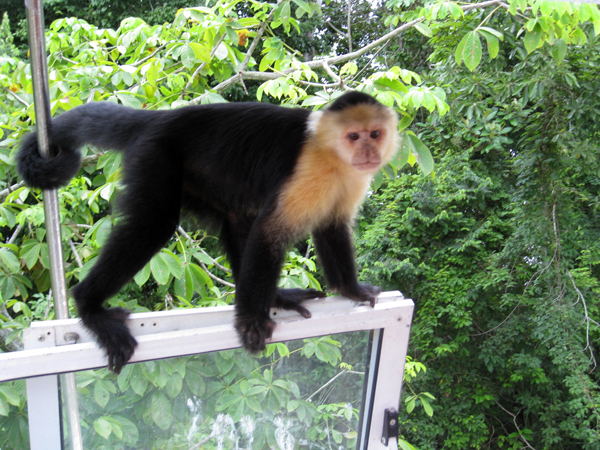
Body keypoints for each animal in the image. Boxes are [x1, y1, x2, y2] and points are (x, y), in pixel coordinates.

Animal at [16, 90, 398, 372]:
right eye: (353, 136)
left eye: (375, 134)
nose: (367, 150)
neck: (333, 156)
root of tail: (161, 117)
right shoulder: (308, 169)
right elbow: (270, 231)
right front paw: (250, 323)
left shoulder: (352, 179)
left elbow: (332, 227)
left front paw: (351, 289)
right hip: (156, 154)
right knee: (153, 226)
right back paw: (89, 305)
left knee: (238, 219)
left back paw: (275, 298)